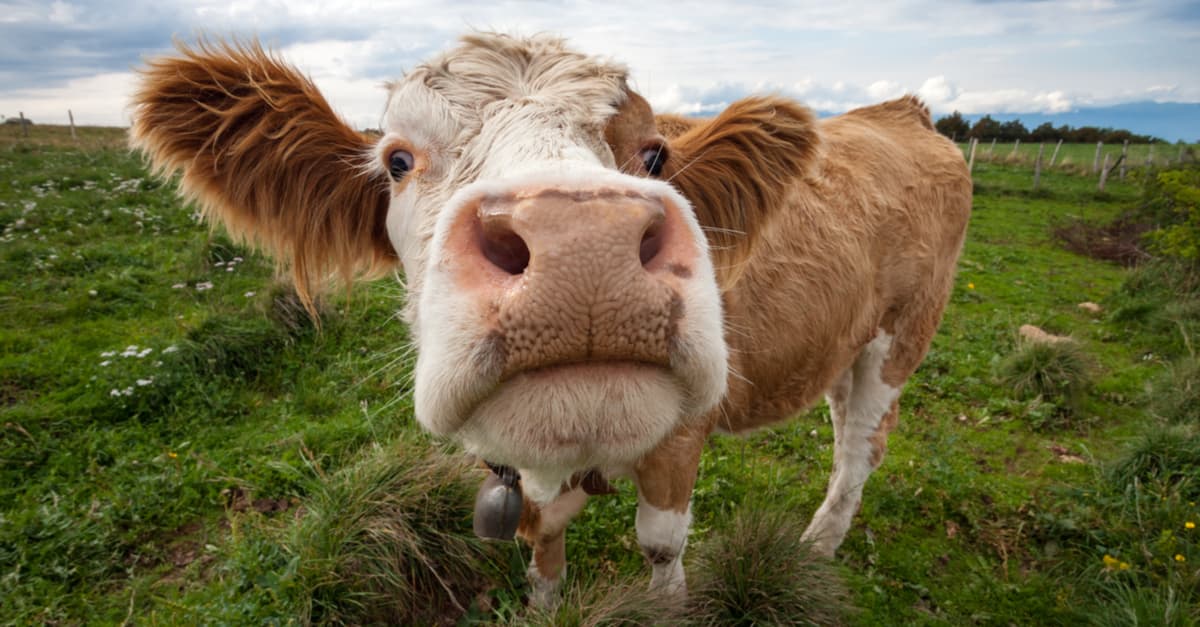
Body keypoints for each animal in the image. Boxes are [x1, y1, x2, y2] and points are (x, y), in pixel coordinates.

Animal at [130, 32, 971, 607]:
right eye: (398, 160)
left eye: (655, 155)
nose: (581, 245)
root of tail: (904, 112)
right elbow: (543, 544)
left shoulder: (682, 437)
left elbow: (661, 550)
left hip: (903, 333)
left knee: (861, 444)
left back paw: (819, 543)